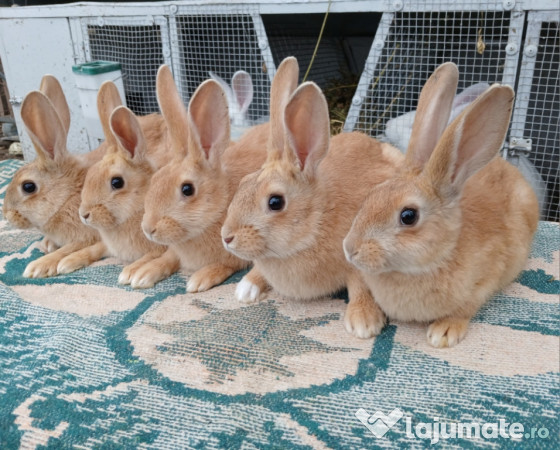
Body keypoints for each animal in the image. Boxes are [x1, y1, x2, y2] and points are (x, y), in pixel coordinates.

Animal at [57, 104, 176, 287]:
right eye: (90, 174)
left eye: (117, 182)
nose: (84, 214)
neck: (138, 207)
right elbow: (94, 249)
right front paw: (67, 262)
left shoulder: (161, 246)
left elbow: (151, 257)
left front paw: (132, 274)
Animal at [137, 62, 285, 292]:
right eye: (155, 179)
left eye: (187, 189)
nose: (148, 229)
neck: (221, 205)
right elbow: (168, 258)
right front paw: (142, 274)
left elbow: (226, 264)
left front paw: (199, 279)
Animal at [221, 77, 405, 339]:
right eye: (243, 183)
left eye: (275, 202)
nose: (226, 237)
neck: (316, 223)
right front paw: (246, 289)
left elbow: (361, 286)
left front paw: (363, 322)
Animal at [343, 63, 540, 348]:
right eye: (371, 195)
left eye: (408, 216)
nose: (350, 249)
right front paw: (364, 319)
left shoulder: (487, 278)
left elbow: (466, 307)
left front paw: (443, 332)